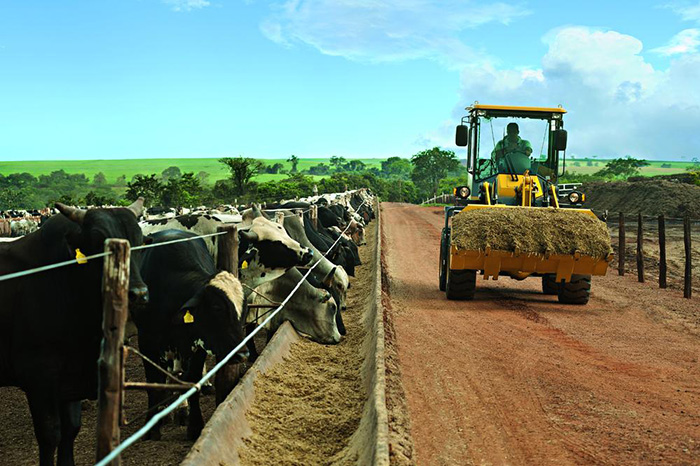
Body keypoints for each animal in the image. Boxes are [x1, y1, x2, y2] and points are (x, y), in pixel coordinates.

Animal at [0, 199, 148, 466]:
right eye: (100, 245)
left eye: (140, 243)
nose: (139, 294)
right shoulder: (39, 376)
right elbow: (50, 434)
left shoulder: (69, 379)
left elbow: (71, 428)